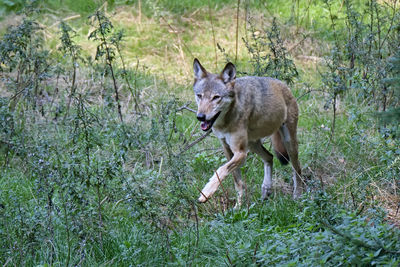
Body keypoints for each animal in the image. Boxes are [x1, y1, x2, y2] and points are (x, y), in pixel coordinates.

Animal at [192, 58, 304, 206]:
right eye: (199, 96)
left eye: (216, 97)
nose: (200, 117)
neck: (225, 122)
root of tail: (284, 85)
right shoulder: (227, 150)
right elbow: (237, 182)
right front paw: (238, 207)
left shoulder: (240, 152)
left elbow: (221, 170)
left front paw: (206, 193)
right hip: (252, 144)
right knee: (269, 157)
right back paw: (266, 190)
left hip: (288, 143)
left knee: (297, 168)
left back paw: (297, 196)